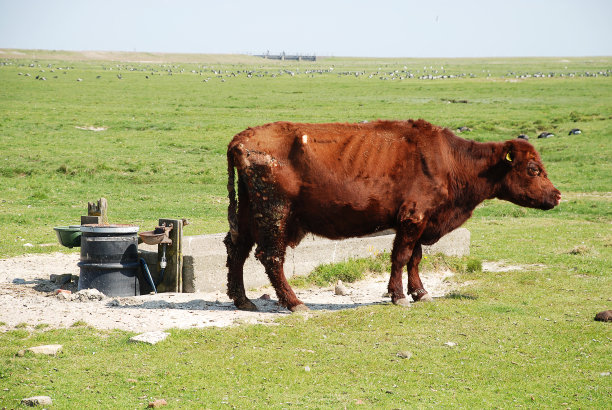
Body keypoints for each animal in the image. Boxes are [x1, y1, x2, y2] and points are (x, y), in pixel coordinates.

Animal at [224, 120, 560, 312]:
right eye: (533, 169)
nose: (557, 195)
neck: (448, 159)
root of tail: (241, 139)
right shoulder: (413, 218)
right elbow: (401, 256)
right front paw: (399, 296)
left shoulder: (421, 221)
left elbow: (415, 258)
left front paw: (420, 292)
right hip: (274, 214)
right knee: (271, 257)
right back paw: (295, 304)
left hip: (249, 214)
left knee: (237, 249)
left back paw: (243, 301)